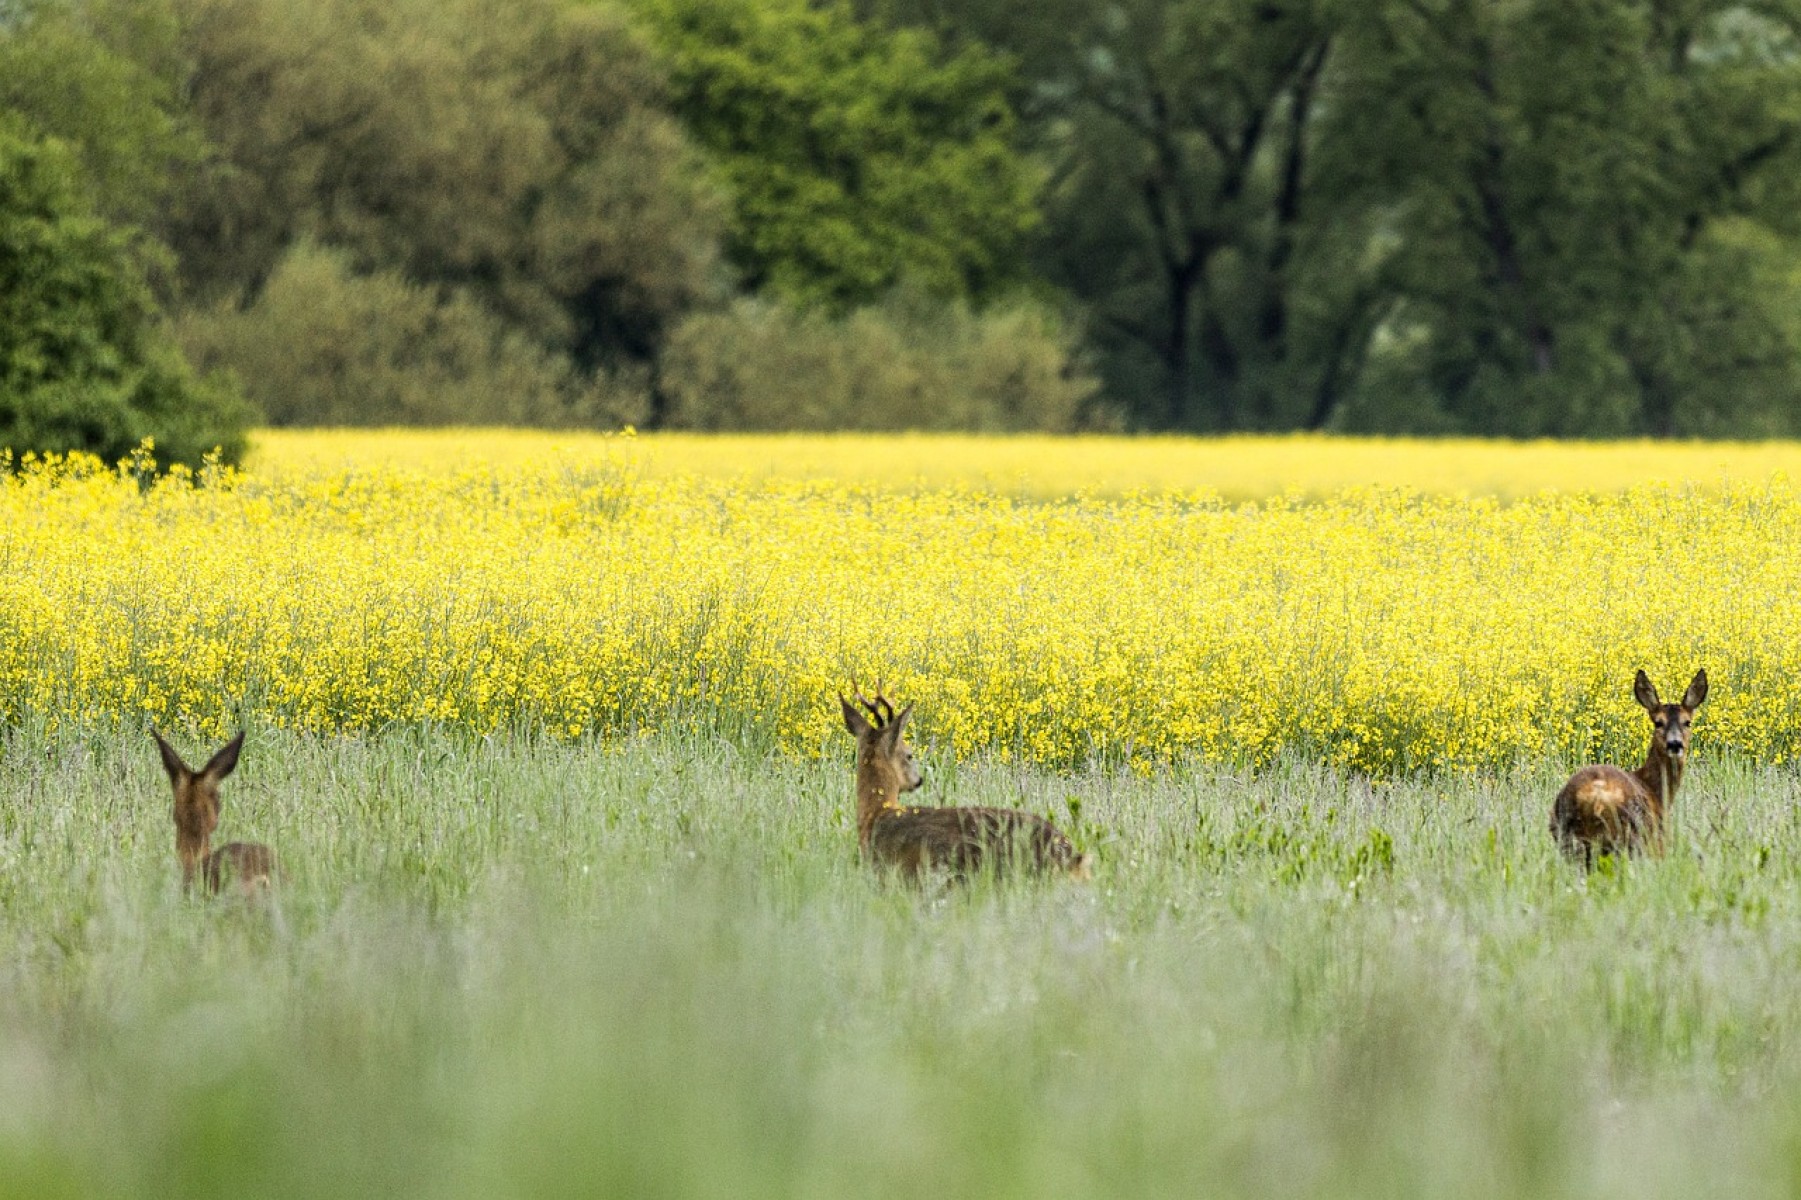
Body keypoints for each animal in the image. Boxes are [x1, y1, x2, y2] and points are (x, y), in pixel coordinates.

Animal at [1556, 666, 1707, 864]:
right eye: (1658, 722)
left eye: (1687, 722)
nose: (1674, 744)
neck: (1657, 792)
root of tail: (1594, 797)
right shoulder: (1658, 843)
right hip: (1630, 838)